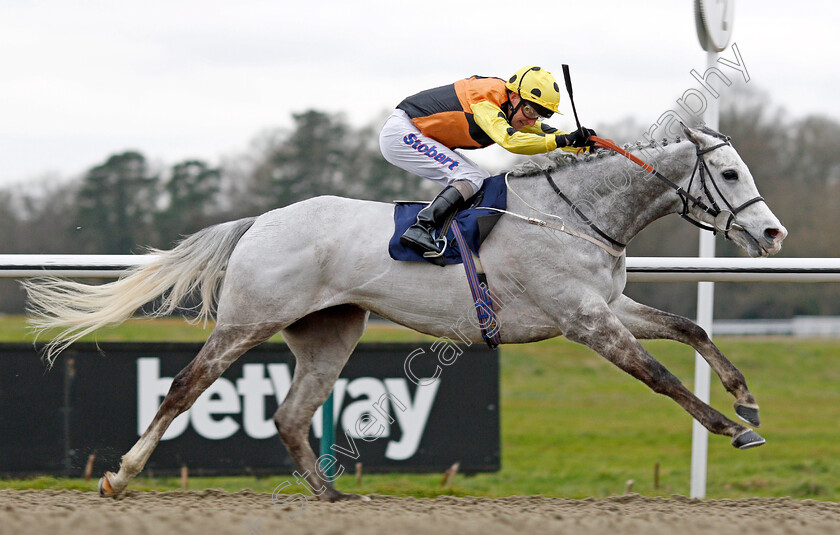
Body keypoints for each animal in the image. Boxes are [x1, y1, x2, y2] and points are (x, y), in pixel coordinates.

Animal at [26, 123, 788, 500]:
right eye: (728, 173)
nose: (774, 233)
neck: (575, 213)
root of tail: (260, 221)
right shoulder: (585, 320)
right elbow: (661, 375)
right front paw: (733, 427)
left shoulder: (609, 304)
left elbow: (690, 327)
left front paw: (746, 398)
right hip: (248, 320)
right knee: (186, 387)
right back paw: (120, 475)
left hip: (330, 333)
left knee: (290, 414)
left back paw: (331, 496)